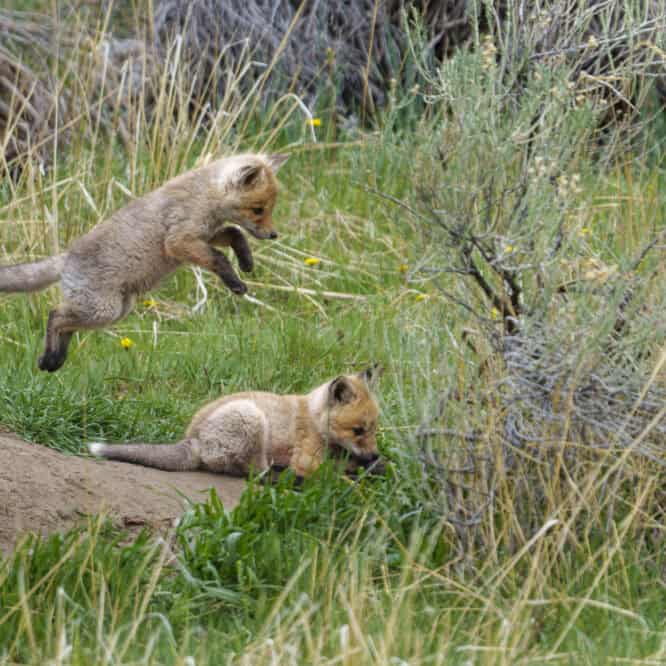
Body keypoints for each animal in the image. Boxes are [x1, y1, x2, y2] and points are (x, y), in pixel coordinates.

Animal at [0, 152, 288, 372]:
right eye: (258, 210)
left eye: (269, 209)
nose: (274, 234)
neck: (205, 195)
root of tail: (67, 256)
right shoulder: (179, 241)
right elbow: (218, 257)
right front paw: (235, 282)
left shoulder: (206, 234)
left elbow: (235, 234)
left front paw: (246, 262)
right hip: (103, 309)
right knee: (56, 315)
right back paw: (49, 357)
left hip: (114, 311)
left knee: (66, 324)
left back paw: (55, 360)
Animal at [88, 366, 384, 479]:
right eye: (357, 430)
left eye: (373, 429)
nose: (374, 454)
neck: (315, 419)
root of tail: (193, 438)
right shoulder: (307, 460)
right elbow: (335, 471)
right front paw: (359, 474)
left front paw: (372, 465)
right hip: (251, 418)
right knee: (252, 471)